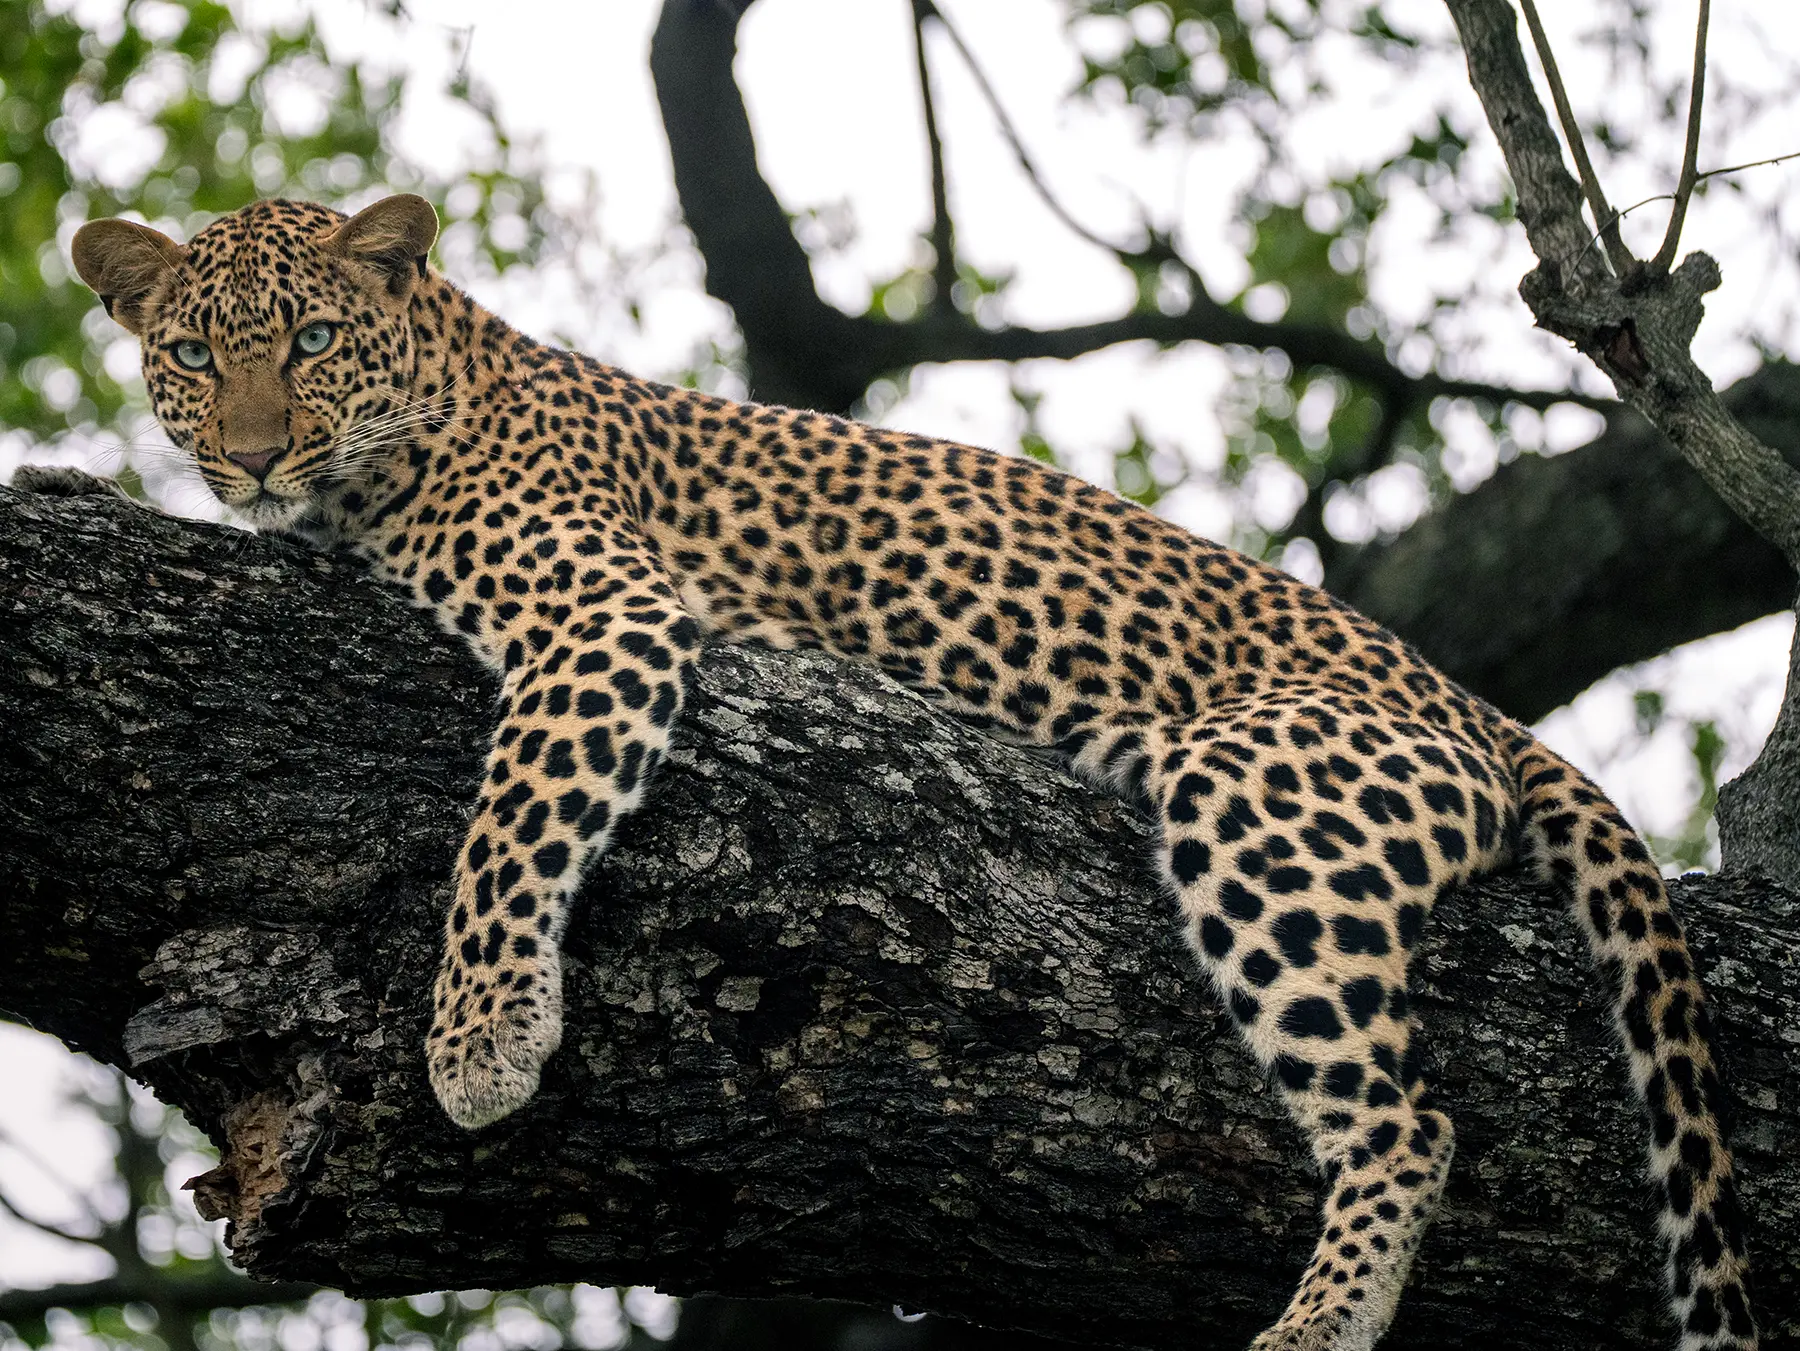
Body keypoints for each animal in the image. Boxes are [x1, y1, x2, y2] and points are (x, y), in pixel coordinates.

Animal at [69, 194, 1757, 1351]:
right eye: (197, 354)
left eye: (312, 341)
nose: (256, 455)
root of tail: (1476, 706)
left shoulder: (607, 612)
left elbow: (511, 820)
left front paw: (482, 1035)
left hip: (1263, 786)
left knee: (1406, 1119)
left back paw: (1317, 1320)